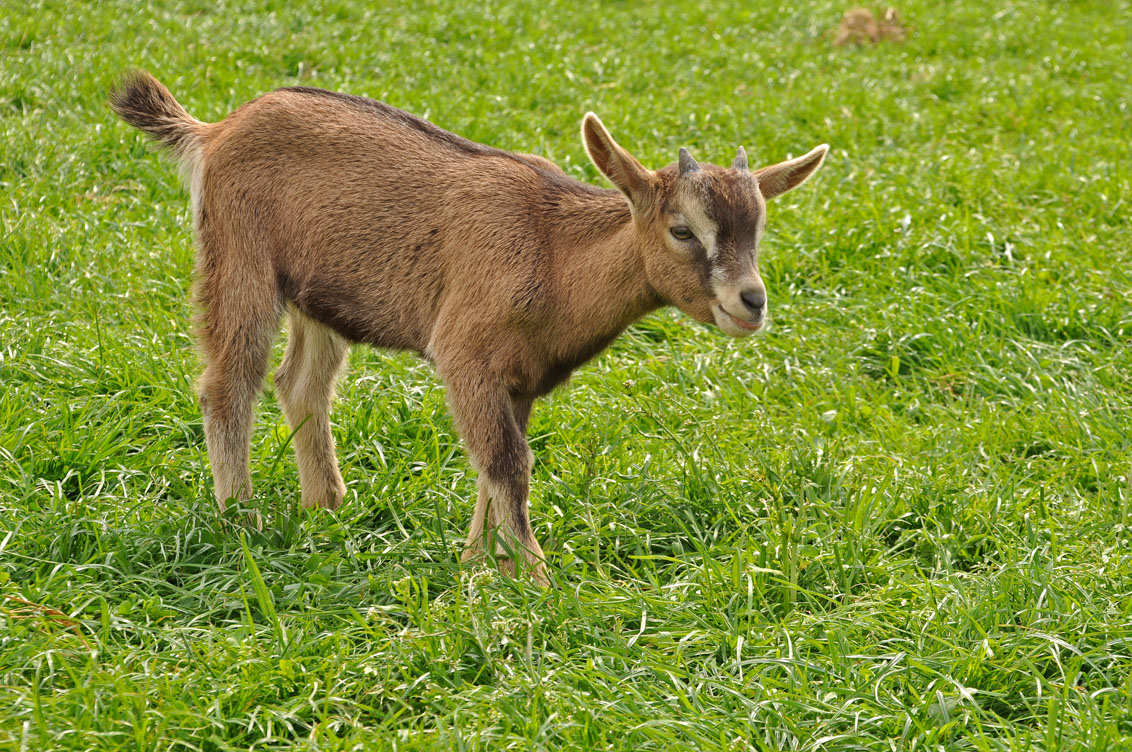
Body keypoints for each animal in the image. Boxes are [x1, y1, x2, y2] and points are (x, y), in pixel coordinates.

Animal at [109, 71, 828, 585]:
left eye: (759, 228)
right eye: (682, 230)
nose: (751, 302)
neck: (551, 248)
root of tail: (214, 131)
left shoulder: (521, 379)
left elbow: (496, 462)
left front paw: (482, 563)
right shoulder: (465, 354)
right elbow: (508, 461)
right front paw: (534, 581)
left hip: (320, 293)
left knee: (301, 384)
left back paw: (326, 506)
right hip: (239, 257)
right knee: (228, 384)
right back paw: (243, 520)